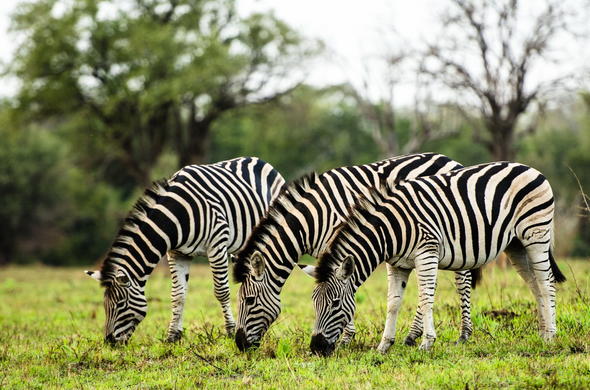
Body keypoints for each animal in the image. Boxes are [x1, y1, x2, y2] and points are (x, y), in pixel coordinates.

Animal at [84, 157, 286, 342]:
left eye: (120, 304)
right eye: (104, 305)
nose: (109, 342)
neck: (177, 216)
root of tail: (257, 159)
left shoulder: (217, 245)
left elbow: (221, 291)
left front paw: (229, 331)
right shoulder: (177, 254)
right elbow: (178, 295)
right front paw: (173, 335)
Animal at [231, 154, 480, 352]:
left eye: (249, 300)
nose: (240, 344)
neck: (312, 219)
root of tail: (450, 159)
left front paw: (345, 338)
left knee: (462, 279)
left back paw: (464, 334)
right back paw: (412, 335)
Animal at [302, 160, 568, 354]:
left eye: (335, 304)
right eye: (314, 303)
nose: (316, 349)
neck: (390, 230)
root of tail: (530, 168)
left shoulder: (426, 253)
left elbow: (425, 298)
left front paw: (426, 342)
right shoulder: (396, 265)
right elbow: (393, 303)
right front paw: (384, 345)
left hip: (536, 235)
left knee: (546, 283)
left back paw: (551, 337)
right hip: (516, 246)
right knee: (534, 285)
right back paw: (542, 332)